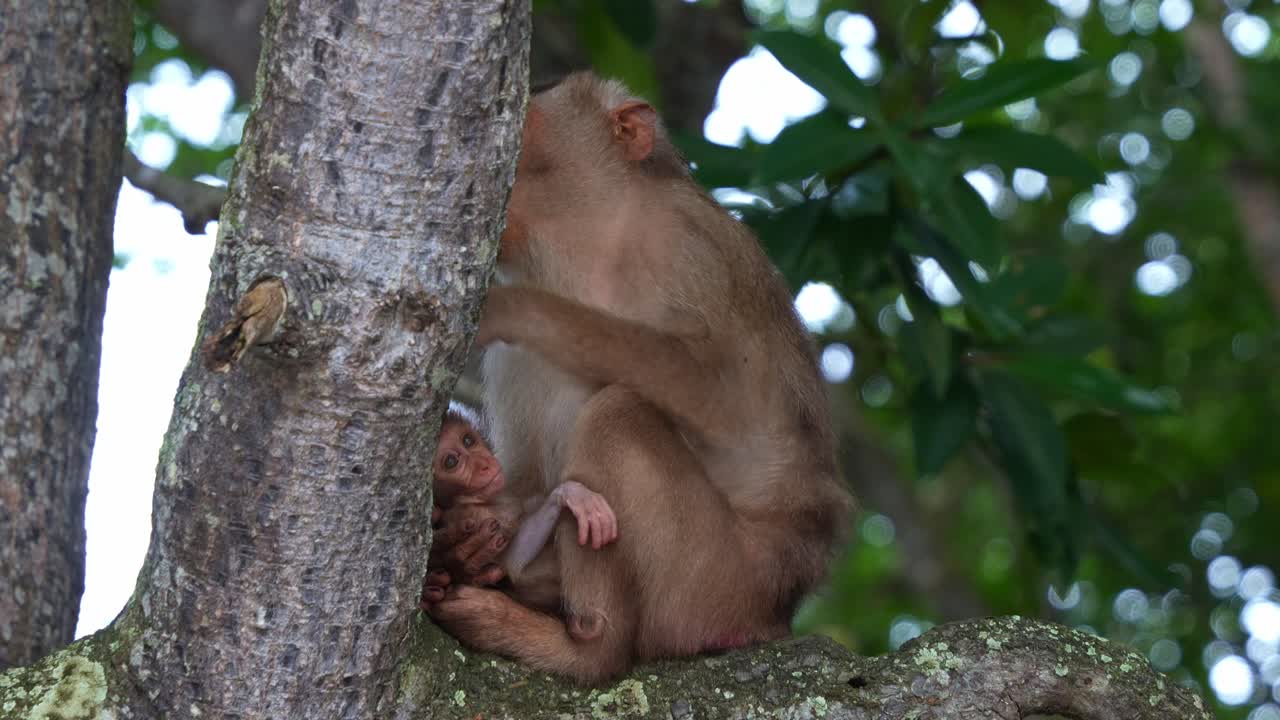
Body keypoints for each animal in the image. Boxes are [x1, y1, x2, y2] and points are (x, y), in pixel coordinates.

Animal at [421, 407, 617, 607]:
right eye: (451, 461)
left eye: (468, 440)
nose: (484, 464)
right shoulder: (474, 517)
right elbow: (514, 561)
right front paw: (570, 494)